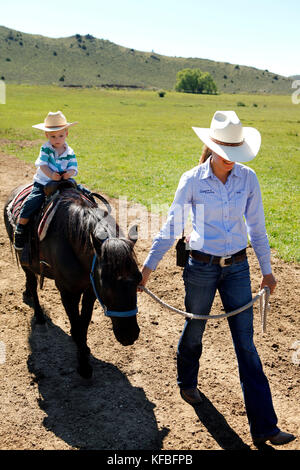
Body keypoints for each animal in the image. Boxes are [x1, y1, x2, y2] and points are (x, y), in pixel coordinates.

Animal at [3, 184, 142, 378]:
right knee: (32, 284)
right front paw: (83, 366)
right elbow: (76, 325)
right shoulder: (68, 292)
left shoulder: (90, 290)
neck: (72, 242)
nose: (130, 334)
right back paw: (39, 315)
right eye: (106, 285)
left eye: (139, 279)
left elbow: (83, 323)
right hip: (26, 264)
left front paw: (84, 349)